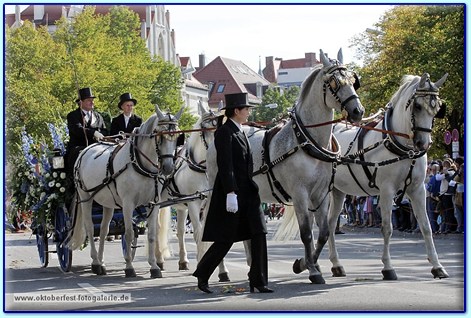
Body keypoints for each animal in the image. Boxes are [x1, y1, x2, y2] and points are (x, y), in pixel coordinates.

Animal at [70, 105, 184, 278]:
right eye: (160, 136)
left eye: (177, 137)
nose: (168, 168)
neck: (139, 163)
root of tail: (86, 150)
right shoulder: (128, 203)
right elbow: (129, 233)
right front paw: (129, 267)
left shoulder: (153, 203)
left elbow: (152, 234)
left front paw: (154, 266)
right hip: (86, 197)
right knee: (89, 227)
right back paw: (95, 262)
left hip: (107, 202)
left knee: (103, 230)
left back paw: (102, 263)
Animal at [158, 101, 218, 270]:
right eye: (204, 129)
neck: (202, 170)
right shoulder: (193, 204)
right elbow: (198, 234)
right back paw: (158, 259)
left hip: (180, 207)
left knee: (180, 230)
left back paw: (183, 260)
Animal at [203, 49, 366, 284]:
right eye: (334, 83)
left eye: (354, 81)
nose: (357, 111)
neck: (307, 141)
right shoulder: (300, 194)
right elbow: (306, 233)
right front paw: (312, 269)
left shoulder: (320, 194)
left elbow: (324, 233)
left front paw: (305, 263)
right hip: (221, 193)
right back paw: (221, 270)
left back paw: (251, 266)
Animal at [324, 73, 450, 280]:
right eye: (417, 106)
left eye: (437, 108)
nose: (423, 143)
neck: (401, 147)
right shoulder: (386, 191)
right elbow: (387, 228)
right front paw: (388, 267)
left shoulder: (417, 190)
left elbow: (426, 226)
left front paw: (437, 266)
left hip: (338, 191)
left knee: (331, 223)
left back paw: (336, 264)